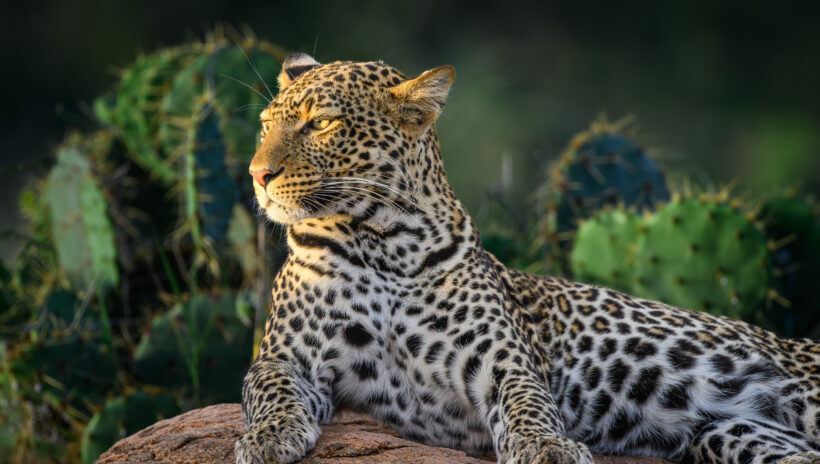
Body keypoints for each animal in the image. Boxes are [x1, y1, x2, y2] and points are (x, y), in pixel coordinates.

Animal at [235, 52, 820, 464]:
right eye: (264, 124)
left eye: (320, 124)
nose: (257, 174)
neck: (381, 241)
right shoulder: (285, 354)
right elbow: (268, 389)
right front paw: (267, 437)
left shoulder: (503, 360)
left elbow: (527, 405)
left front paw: (548, 447)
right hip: (729, 431)